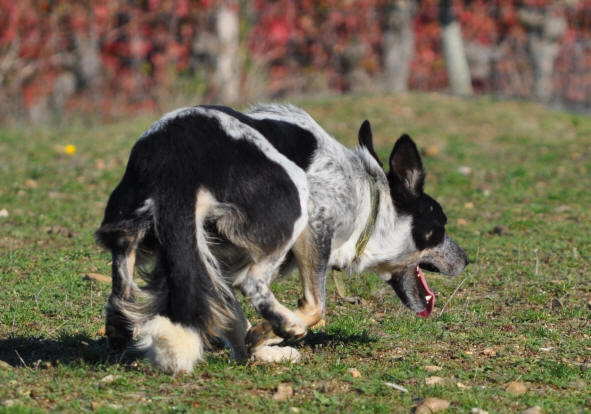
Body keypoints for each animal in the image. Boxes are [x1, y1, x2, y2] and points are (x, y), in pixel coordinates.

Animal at [96, 102, 468, 372]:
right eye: (440, 227)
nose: (466, 259)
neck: (370, 200)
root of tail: (178, 162)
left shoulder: (216, 265)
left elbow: (232, 318)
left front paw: (260, 347)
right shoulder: (317, 226)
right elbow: (313, 306)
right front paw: (272, 333)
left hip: (135, 223)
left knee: (122, 275)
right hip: (293, 198)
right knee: (255, 283)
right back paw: (287, 326)